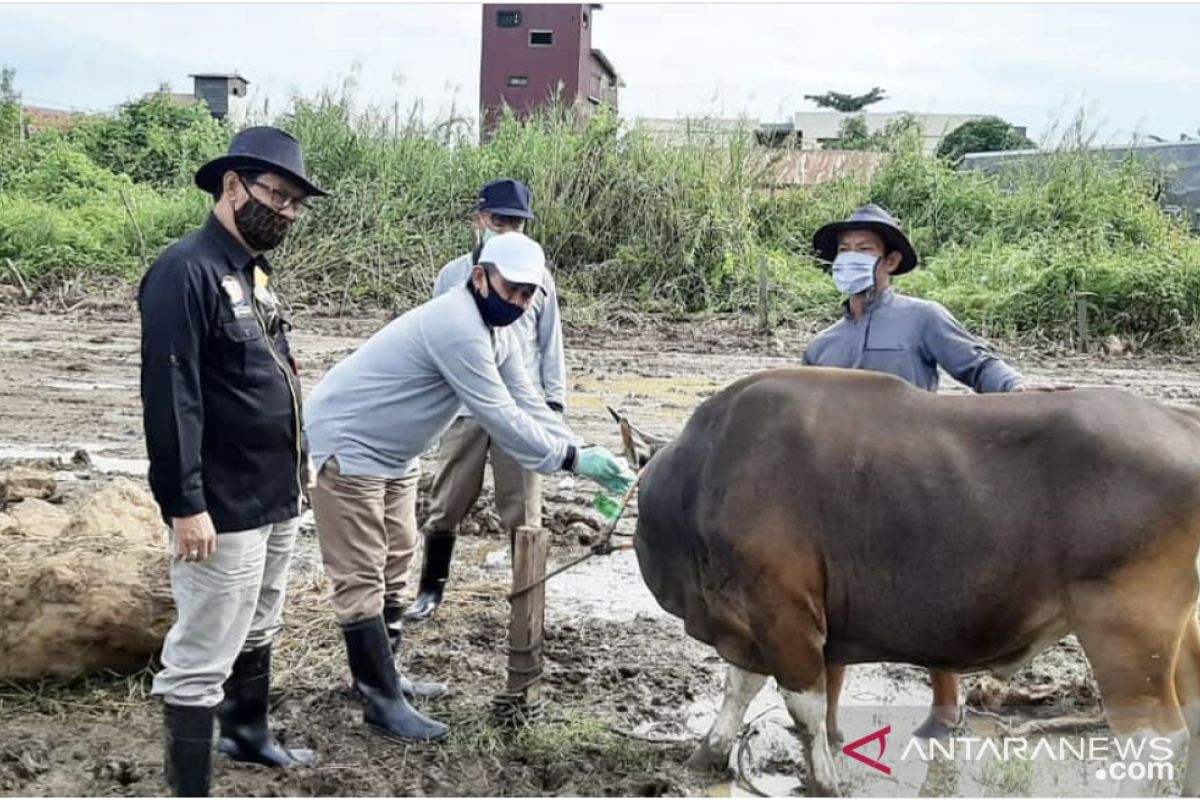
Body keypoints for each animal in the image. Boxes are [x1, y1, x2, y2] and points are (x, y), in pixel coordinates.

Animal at [624, 367, 1200, 796]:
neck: (707, 472)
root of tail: (1179, 419)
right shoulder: (746, 617)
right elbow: (739, 686)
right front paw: (707, 754)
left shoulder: (783, 613)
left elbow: (803, 706)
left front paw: (824, 781)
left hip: (1125, 630)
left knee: (1157, 738)